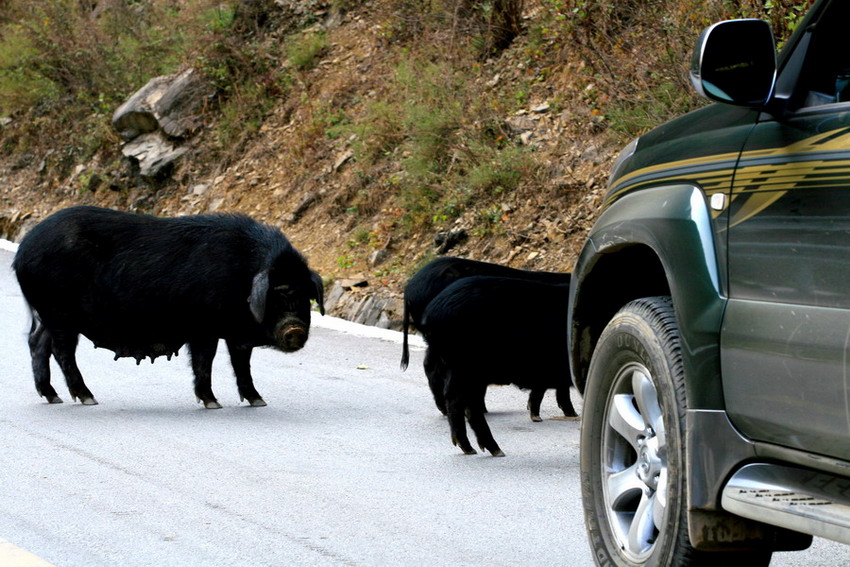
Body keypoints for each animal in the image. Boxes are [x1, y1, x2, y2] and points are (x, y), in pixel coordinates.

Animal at [13, 206, 324, 410]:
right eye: (276, 295)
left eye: (305, 297)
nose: (295, 328)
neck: (243, 276)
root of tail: (23, 251)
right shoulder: (203, 327)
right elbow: (204, 361)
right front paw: (212, 403)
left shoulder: (235, 333)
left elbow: (241, 364)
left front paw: (259, 401)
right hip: (60, 312)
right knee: (61, 351)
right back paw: (88, 398)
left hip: (48, 314)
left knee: (37, 342)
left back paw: (52, 396)